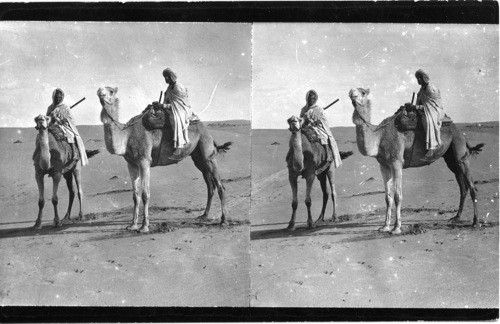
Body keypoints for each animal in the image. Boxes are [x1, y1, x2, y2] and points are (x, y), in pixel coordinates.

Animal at [96, 86, 232, 233]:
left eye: (110, 91)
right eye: (99, 89)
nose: (100, 93)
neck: (127, 135)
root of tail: (208, 133)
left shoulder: (144, 160)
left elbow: (145, 194)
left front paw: (144, 226)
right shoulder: (131, 163)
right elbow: (135, 195)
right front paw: (132, 225)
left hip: (207, 150)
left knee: (220, 186)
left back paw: (223, 221)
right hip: (198, 158)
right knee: (210, 186)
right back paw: (204, 215)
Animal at [348, 87, 484, 234]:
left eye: (362, 92)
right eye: (351, 91)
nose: (352, 94)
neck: (379, 136)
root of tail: (462, 136)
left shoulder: (397, 162)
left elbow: (397, 196)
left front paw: (396, 228)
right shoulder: (384, 165)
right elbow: (388, 197)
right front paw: (384, 226)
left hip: (459, 151)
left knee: (472, 186)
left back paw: (475, 222)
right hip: (451, 159)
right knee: (462, 187)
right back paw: (457, 217)